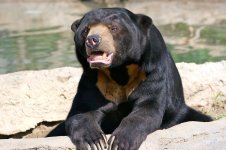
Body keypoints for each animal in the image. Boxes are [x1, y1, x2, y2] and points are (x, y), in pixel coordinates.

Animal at [47, 7, 212, 149]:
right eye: (86, 30)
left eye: (113, 28)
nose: (93, 40)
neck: (119, 69)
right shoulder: (95, 79)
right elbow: (83, 111)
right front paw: (94, 141)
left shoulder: (151, 71)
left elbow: (146, 108)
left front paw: (120, 141)